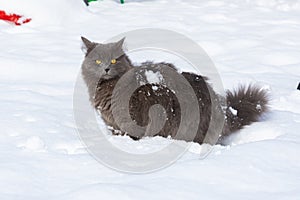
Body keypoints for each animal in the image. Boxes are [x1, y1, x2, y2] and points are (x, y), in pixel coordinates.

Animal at [81, 36, 268, 145]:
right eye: (97, 61)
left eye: (113, 60)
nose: (106, 68)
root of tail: (222, 109)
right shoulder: (112, 125)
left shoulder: (132, 120)